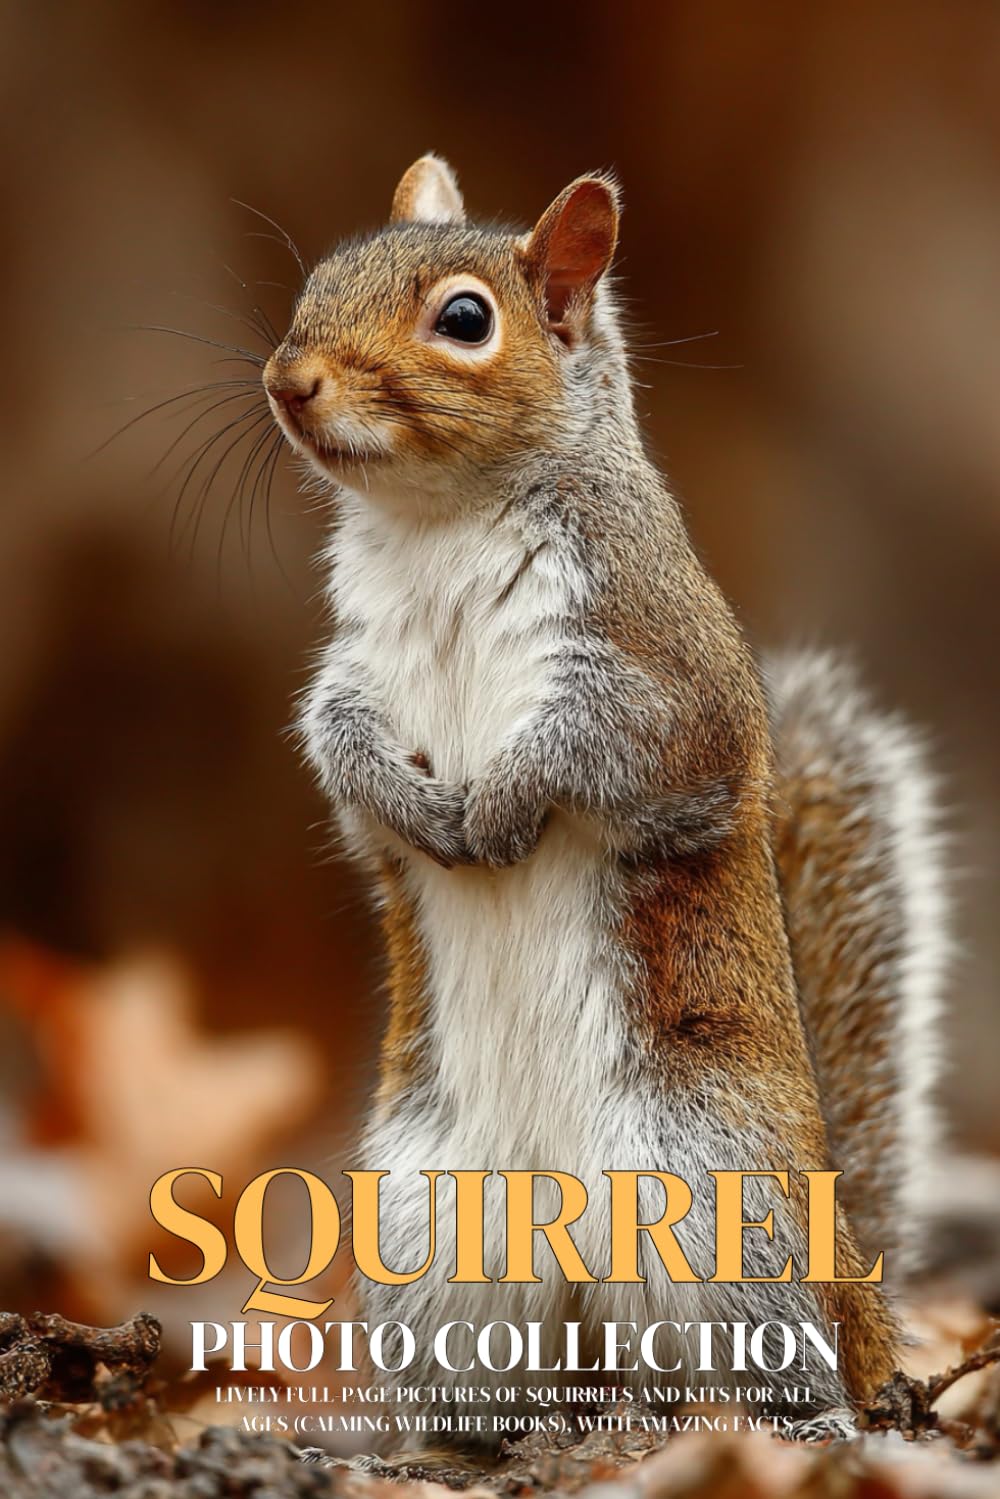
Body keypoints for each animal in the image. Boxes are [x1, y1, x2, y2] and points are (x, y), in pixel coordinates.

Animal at [262, 156, 948, 1444]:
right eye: (320, 278)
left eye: (465, 319)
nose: (287, 379)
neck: (435, 527)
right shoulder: (352, 671)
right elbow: (345, 761)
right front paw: (421, 813)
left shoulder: (667, 676)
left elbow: (616, 748)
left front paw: (501, 806)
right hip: (431, 1229)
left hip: (716, 1204)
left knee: (776, 1353)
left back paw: (811, 1423)